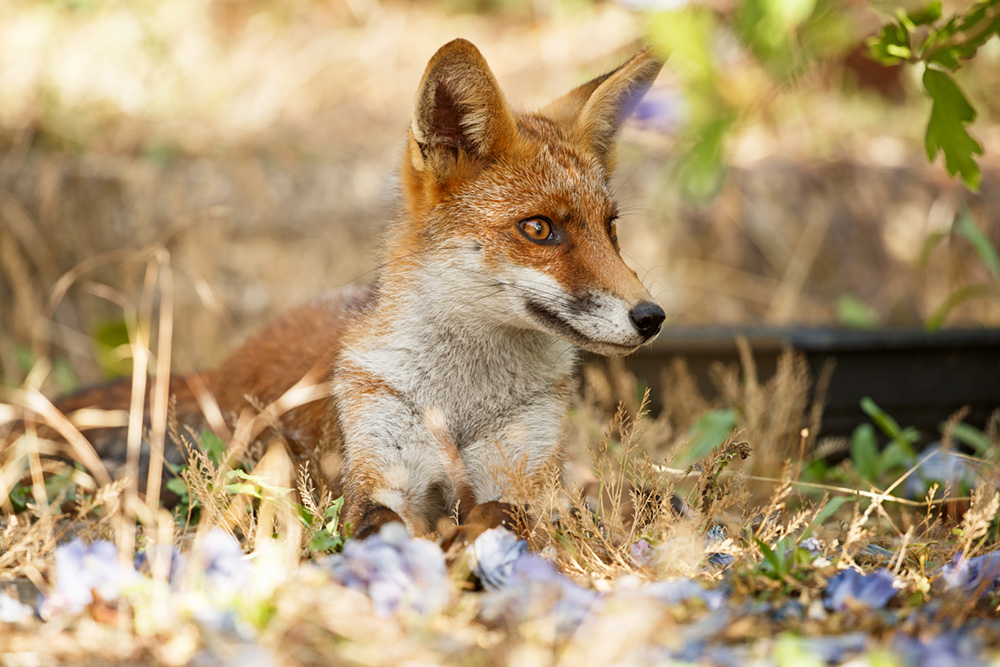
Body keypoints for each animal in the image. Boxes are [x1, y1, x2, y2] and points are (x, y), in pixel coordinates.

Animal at [45, 39, 666, 539]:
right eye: (538, 229)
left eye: (610, 229)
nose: (652, 317)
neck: (460, 405)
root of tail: (225, 367)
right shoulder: (374, 476)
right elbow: (384, 524)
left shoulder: (524, 478)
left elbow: (505, 514)